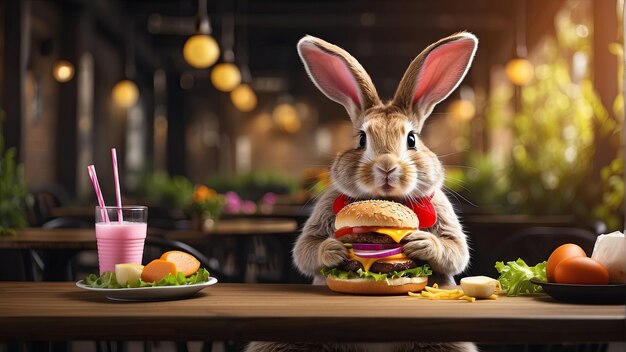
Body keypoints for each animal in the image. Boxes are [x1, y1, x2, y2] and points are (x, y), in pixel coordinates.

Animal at [243, 33, 472, 352]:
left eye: (412, 139)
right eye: (362, 139)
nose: (386, 166)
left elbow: (456, 250)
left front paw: (422, 243)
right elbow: (306, 249)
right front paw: (333, 249)